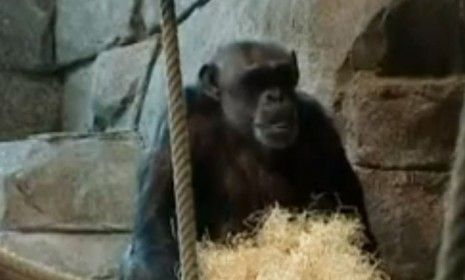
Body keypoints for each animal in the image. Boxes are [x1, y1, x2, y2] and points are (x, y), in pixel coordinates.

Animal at [119, 40, 376, 278]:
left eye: (282, 75)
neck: (240, 128)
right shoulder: (180, 122)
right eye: (255, 80)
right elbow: (157, 222)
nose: (276, 96)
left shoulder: (318, 123)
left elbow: (348, 205)